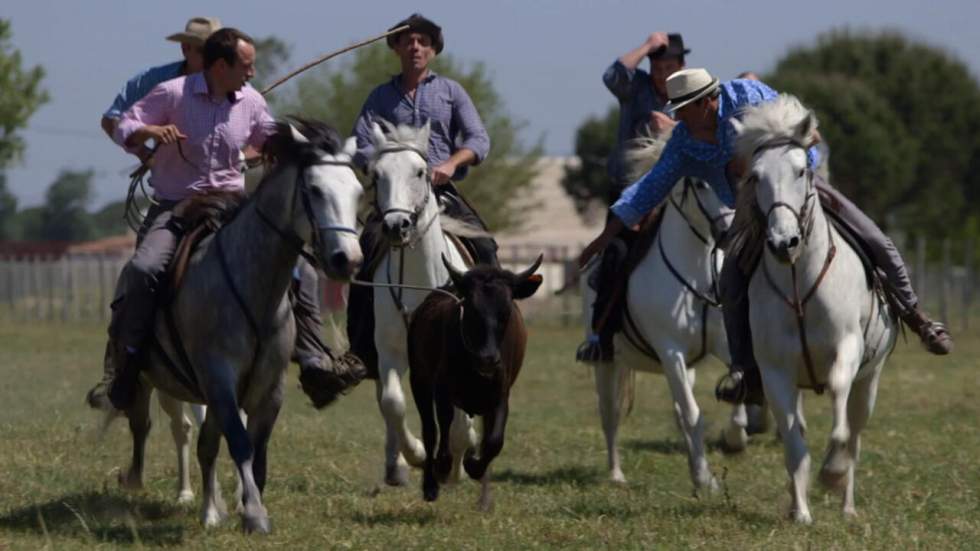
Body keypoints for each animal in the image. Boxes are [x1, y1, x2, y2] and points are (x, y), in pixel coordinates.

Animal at [118, 118, 364, 532]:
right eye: (314, 189)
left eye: (358, 192)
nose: (347, 260)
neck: (252, 289)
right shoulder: (219, 376)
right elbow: (238, 443)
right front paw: (253, 515)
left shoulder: (269, 386)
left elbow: (255, 450)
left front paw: (248, 505)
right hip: (158, 381)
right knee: (159, 425)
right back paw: (157, 485)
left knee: (202, 441)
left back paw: (211, 506)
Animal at [366, 122, 476, 488]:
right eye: (376, 174)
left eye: (419, 172)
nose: (396, 226)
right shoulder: (390, 352)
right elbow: (393, 403)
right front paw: (415, 453)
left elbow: (458, 420)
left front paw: (454, 465)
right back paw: (396, 467)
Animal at [580, 139, 752, 492]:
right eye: (699, 183)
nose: (730, 232)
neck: (697, 275)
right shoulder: (671, 351)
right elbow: (692, 414)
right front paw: (705, 479)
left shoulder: (723, 345)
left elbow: (739, 388)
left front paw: (733, 440)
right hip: (607, 363)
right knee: (610, 415)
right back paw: (616, 474)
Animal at [732, 96, 900, 528]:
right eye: (755, 176)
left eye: (801, 169)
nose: (784, 242)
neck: (798, 285)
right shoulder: (775, 372)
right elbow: (794, 444)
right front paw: (802, 511)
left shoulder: (847, 350)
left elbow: (840, 416)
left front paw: (832, 473)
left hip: (870, 381)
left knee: (855, 431)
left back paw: (847, 503)